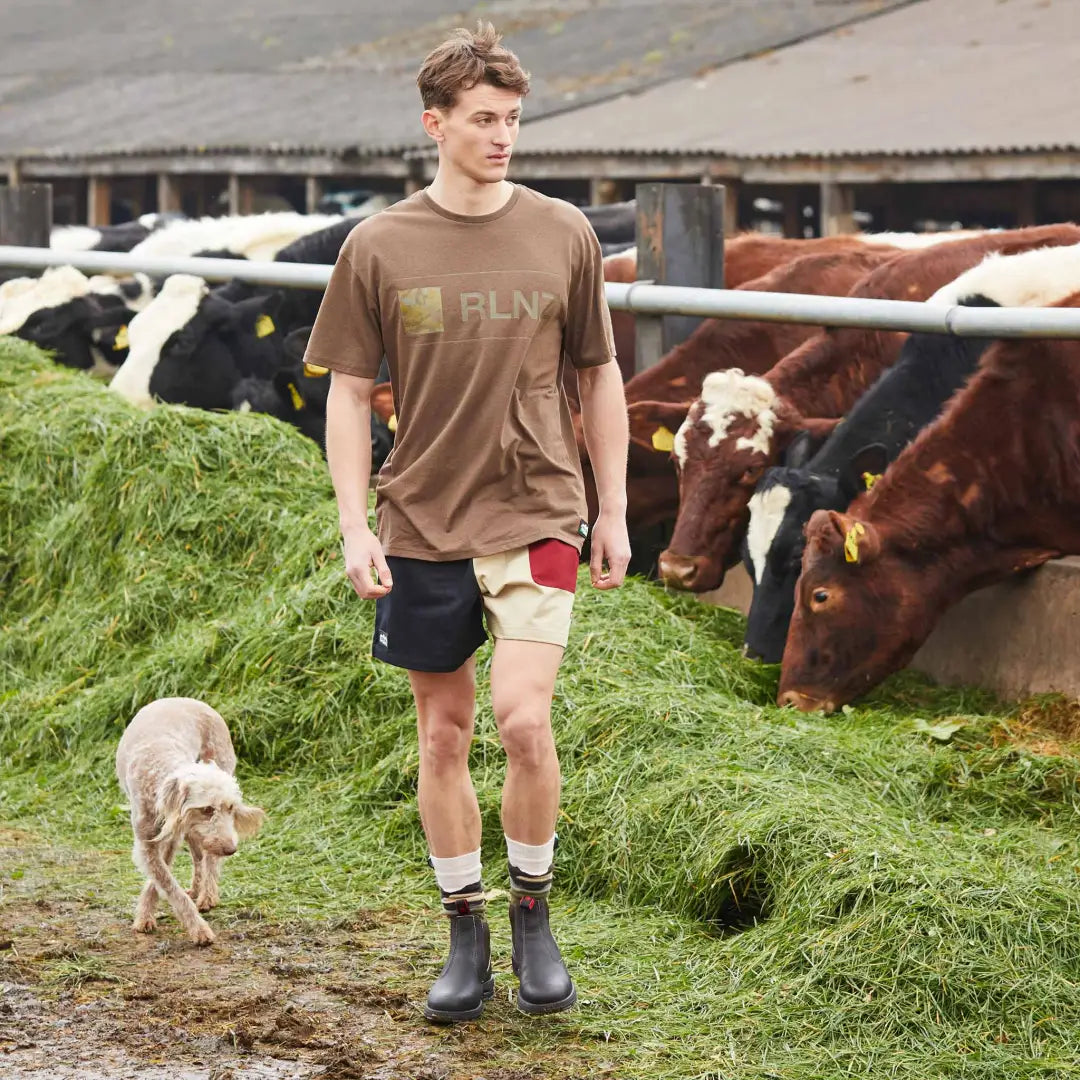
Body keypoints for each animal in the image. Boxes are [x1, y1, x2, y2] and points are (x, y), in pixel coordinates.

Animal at [116, 699, 265, 946]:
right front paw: (149, 916)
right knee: (198, 856)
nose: (231, 850)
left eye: (230, 807)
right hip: (194, 831)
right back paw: (196, 890)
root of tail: (189, 699)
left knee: (208, 860)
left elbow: (161, 879)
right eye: (207, 809)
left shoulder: (171, 838)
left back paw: (207, 896)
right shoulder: (149, 844)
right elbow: (167, 883)